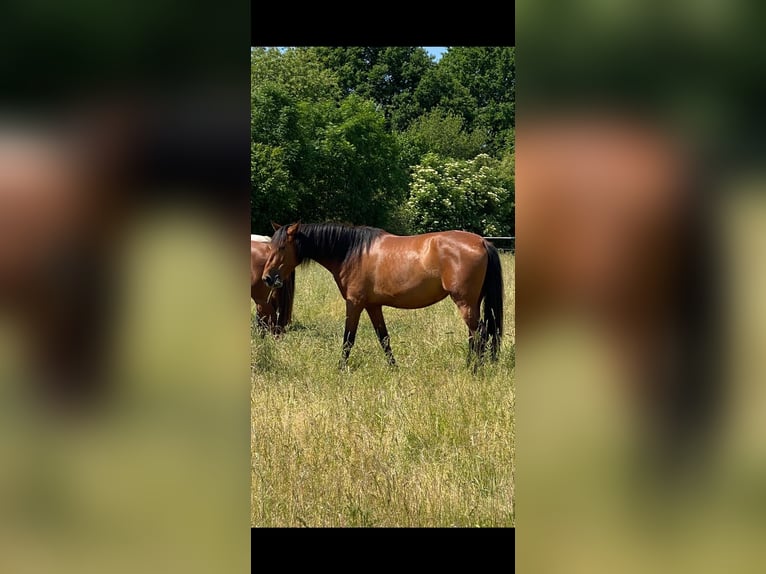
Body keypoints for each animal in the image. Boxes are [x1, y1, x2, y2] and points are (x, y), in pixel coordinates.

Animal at [260, 223, 508, 372]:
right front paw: (393, 368)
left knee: (480, 333)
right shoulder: (373, 306)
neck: (353, 252)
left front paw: (340, 368)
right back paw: (470, 365)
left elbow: (348, 338)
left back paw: (475, 370)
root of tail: (481, 241)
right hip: (473, 303)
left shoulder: (354, 303)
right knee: (476, 334)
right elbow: (384, 338)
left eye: (282, 247)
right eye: (270, 246)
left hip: (465, 302)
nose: (267, 278)